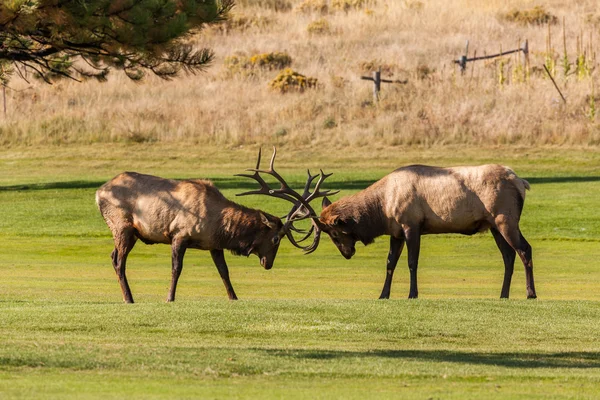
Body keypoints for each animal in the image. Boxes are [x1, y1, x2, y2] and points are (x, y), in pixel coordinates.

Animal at [96, 148, 336, 302]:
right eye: (276, 238)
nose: (268, 264)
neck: (219, 223)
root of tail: (98, 193)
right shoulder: (179, 234)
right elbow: (176, 268)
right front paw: (169, 297)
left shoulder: (214, 245)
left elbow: (224, 272)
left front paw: (234, 297)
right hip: (123, 226)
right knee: (119, 261)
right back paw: (129, 298)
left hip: (130, 233)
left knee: (113, 256)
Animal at [314, 164, 536, 298]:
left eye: (334, 233)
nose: (347, 253)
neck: (382, 209)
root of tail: (521, 182)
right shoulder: (396, 232)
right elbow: (390, 263)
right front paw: (383, 294)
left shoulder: (411, 224)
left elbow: (412, 262)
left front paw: (412, 294)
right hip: (494, 226)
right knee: (508, 256)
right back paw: (503, 294)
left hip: (505, 219)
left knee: (524, 249)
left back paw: (530, 293)